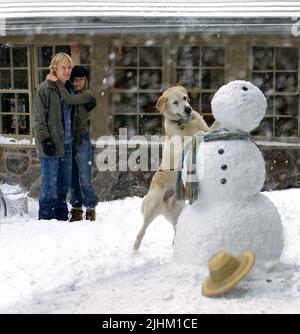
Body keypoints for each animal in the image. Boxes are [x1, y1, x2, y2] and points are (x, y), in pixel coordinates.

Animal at [134, 87, 209, 250]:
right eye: (175, 102)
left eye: (185, 98)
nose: (188, 109)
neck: (184, 122)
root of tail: (165, 206)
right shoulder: (178, 148)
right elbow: (189, 139)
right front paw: (196, 134)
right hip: (152, 207)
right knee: (142, 229)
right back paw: (136, 246)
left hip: (177, 211)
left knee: (176, 230)